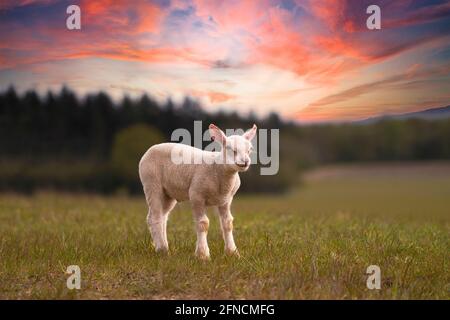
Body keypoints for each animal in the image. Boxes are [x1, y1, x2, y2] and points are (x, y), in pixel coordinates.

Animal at [137, 123, 256, 260]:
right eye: (230, 148)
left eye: (250, 149)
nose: (245, 161)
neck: (218, 168)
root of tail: (149, 150)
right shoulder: (196, 195)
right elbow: (203, 223)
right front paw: (203, 254)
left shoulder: (226, 200)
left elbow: (227, 223)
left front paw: (232, 252)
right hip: (151, 183)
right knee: (154, 217)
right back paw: (162, 250)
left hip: (168, 193)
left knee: (163, 217)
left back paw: (163, 246)